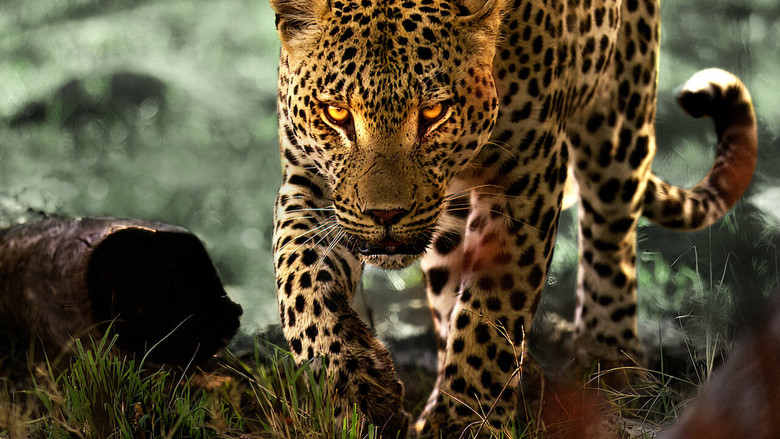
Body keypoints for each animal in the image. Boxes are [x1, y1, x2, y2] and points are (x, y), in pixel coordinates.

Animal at [268, 0, 757, 436]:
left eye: (433, 112)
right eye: (336, 113)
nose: (386, 214)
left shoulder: (527, 173)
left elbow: (493, 307)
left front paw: (465, 421)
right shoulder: (310, 179)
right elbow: (301, 278)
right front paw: (356, 385)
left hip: (619, 117)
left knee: (610, 237)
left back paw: (609, 363)